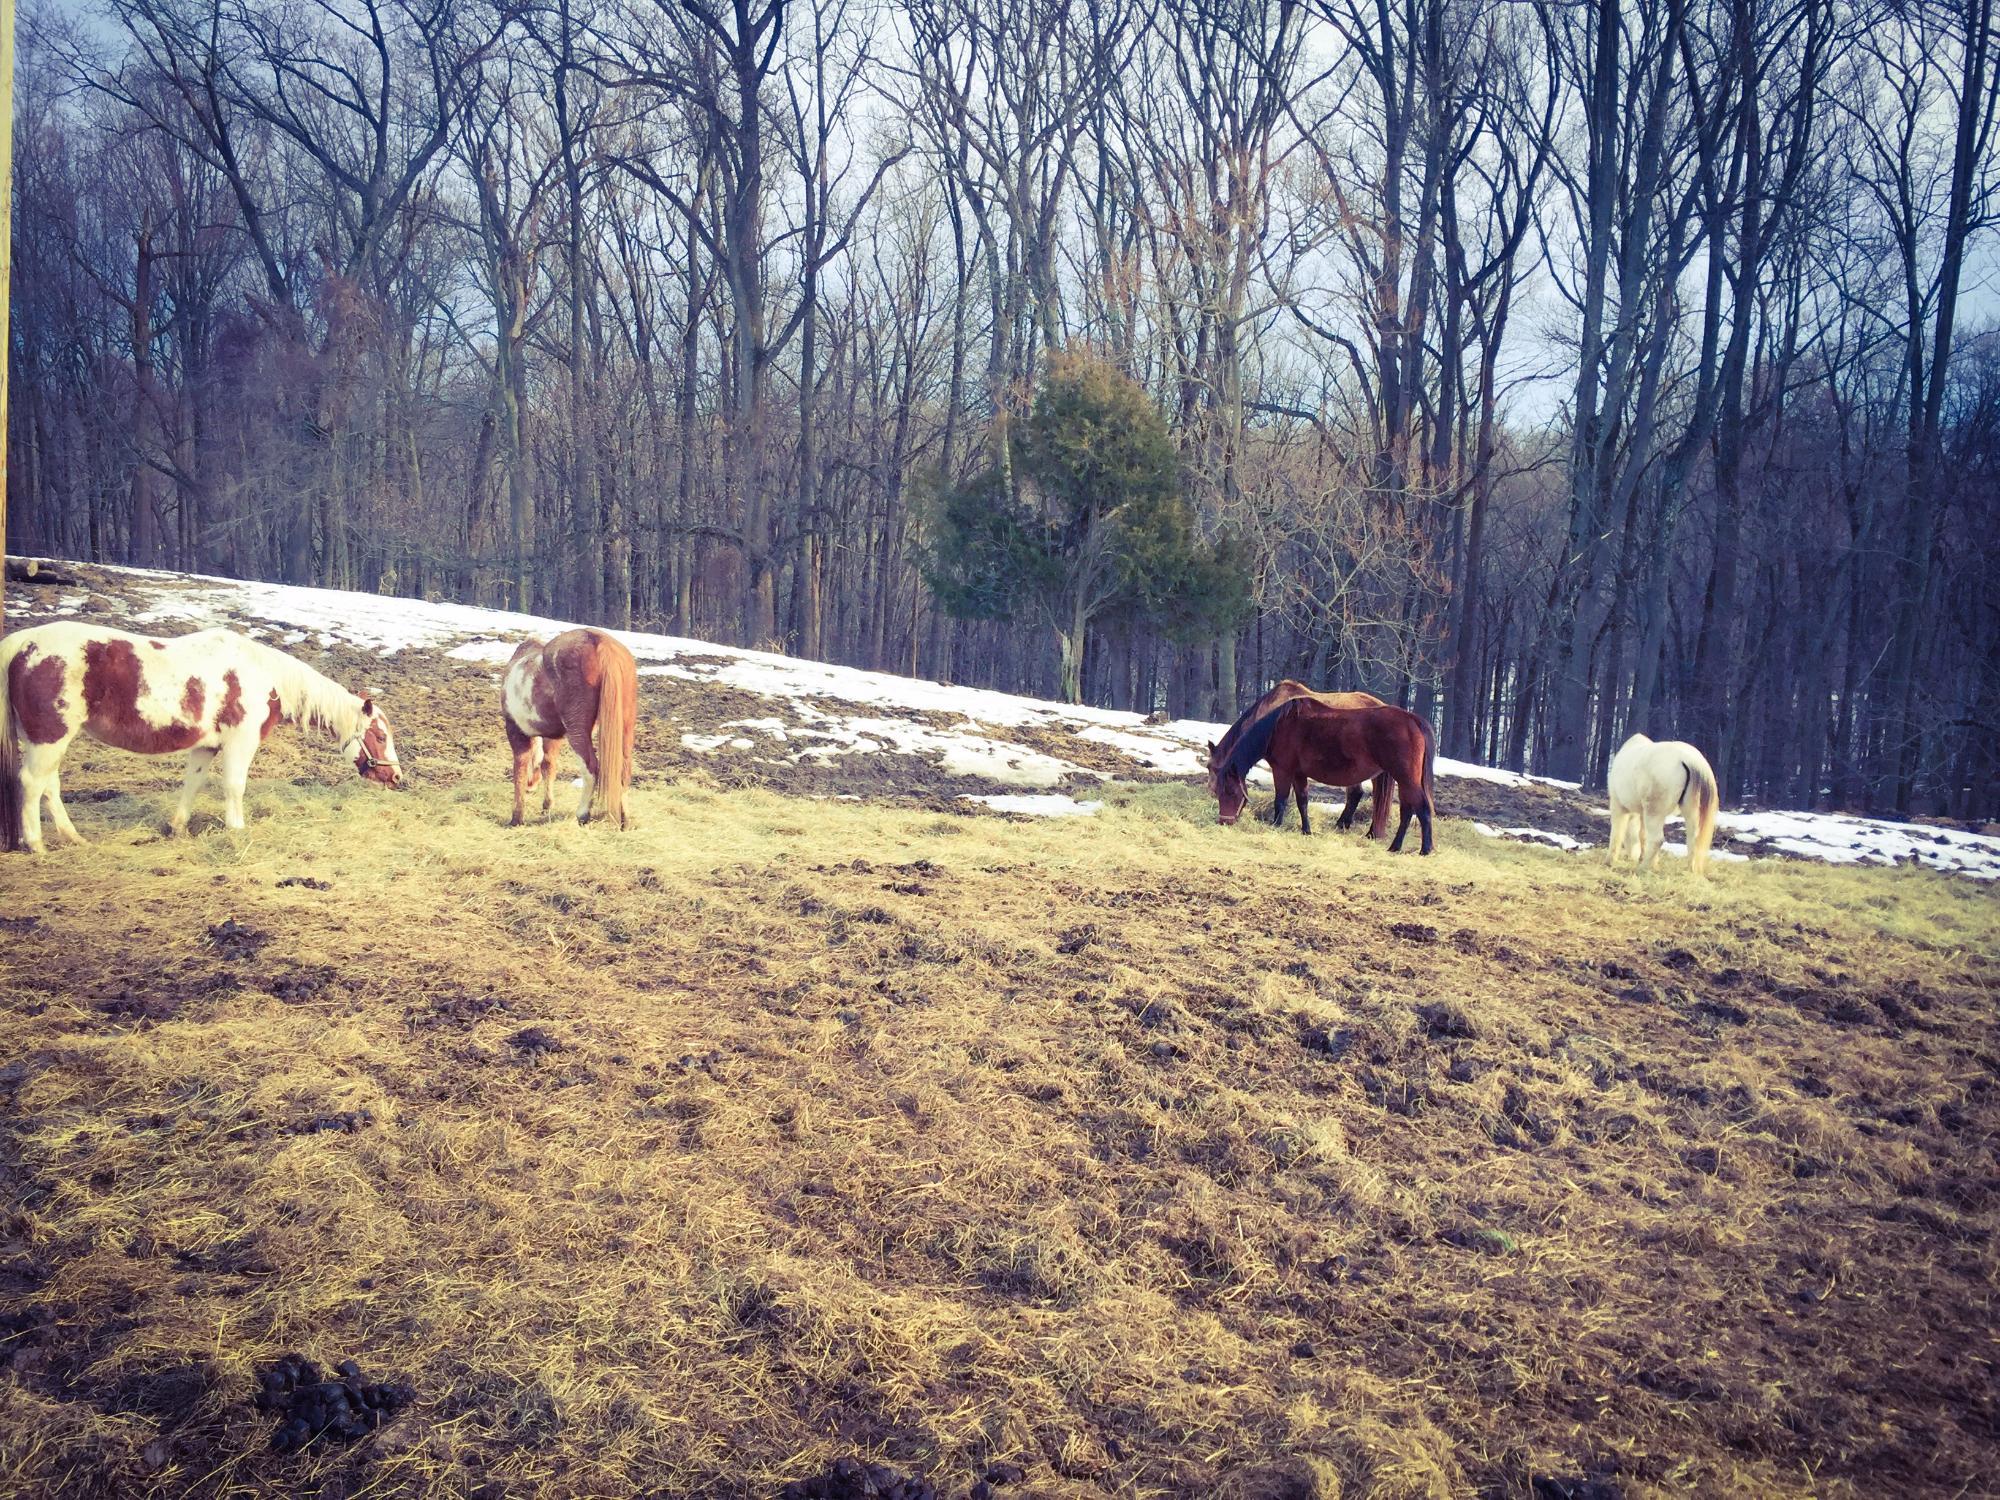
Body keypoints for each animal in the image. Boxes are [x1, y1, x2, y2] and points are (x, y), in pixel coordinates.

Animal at [0, 624, 406, 856]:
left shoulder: (206, 746)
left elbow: (192, 784)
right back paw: (35, 844)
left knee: (49, 787)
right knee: (32, 783)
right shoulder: (240, 742)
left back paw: (72, 838)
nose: (396, 777)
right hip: (50, 737)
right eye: (380, 735)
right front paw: (236, 830)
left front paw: (177, 828)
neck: (262, 674)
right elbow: (234, 786)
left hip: (47, 740)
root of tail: (21, 644)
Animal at [500, 628, 632, 828]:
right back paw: (624, 820)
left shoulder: (515, 730)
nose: (532, 786)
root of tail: (599, 641)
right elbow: (548, 764)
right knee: (623, 771)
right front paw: (547, 805)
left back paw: (583, 814)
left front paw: (517, 817)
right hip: (624, 729)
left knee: (591, 768)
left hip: (578, 732)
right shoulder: (553, 737)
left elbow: (520, 769)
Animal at [1200, 680, 1392, 836]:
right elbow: (1300, 799)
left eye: (1211, 767)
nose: (1210, 791)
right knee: (1358, 795)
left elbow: (1282, 797)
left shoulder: (1283, 768)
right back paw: (1345, 826)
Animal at [1200, 696, 1440, 852]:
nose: (1224, 822)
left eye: (1231, 792)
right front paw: (1306, 831)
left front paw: (1275, 826)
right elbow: (1302, 802)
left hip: (1405, 777)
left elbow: (1281, 800)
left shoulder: (1282, 770)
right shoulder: (1299, 774)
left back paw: (1425, 849)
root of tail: (1414, 720)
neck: (1278, 727)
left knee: (1421, 808)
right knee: (1408, 810)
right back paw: (1395, 846)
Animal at [1608, 732, 1720, 876]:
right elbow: (1643, 835)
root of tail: (1689, 759)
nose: (1631, 857)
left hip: (1654, 810)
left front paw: (1610, 861)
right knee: (1693, 839)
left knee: (1657, 839)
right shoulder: (1643, 813)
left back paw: (1642, 868)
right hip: (1690, 810)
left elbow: (1617, 833)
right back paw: (1690, 870)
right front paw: (1651, 862)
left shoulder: (1618, 805)